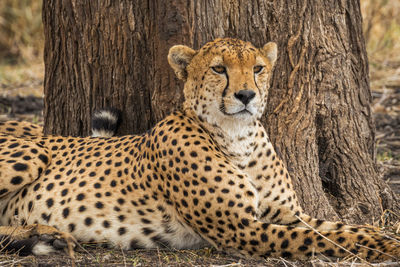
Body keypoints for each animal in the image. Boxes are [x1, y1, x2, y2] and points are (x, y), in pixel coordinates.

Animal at [0, 38, 398, 262]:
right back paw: (40, 237)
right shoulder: (242, 229)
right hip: (33, 153)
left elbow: (341, 227)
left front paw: (383, 237)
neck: (238, 137)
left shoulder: (286, 213)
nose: (246, 95)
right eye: (219, 69)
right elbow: (323, 237)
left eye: (258, 68)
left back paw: (41, 235)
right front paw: (387, 249)